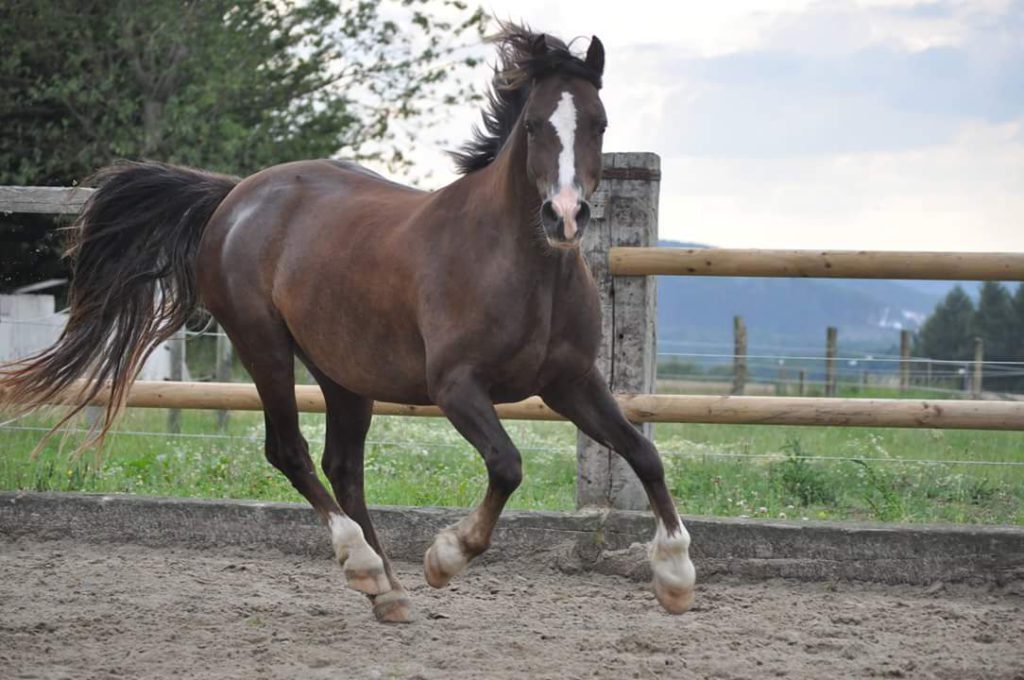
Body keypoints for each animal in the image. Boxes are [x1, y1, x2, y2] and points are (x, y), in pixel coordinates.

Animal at [2, 25, 696, 622]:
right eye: (532, 126)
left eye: (599, 123)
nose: (565, 217)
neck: (519, 266)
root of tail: (235, 196)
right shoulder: (456, 387)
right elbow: (507, 465)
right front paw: (445, 557)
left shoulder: (570, 383)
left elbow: (645, 453)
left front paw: (676, 576)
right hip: (263, 344)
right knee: (289, 451)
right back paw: (363, 565)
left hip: (343, 372)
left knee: (342, 466)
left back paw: (389, 590)